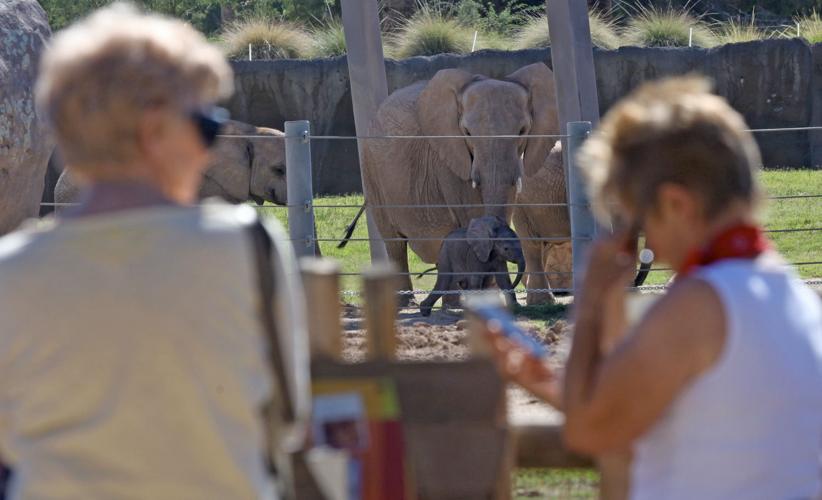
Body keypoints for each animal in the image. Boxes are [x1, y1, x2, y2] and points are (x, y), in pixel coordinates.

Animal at [360, 63, 559, 303]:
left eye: (522, 131)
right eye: (467, 132)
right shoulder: (450, 156)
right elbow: (470, 212)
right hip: (371, 171)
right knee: (394, 243)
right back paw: (406, 302)